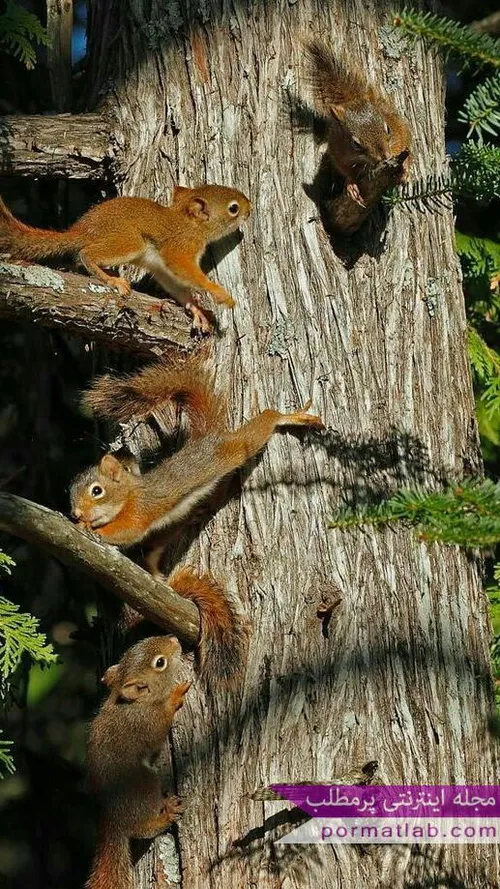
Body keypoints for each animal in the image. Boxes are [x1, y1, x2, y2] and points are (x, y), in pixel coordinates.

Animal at [0, 186, 250, 332]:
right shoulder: (179, 249)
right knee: (86, 254)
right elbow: (187, 272)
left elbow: (176, 286)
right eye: (233, 208)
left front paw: (196, 309)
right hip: (130, 240)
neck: (191, 224)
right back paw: (111, 279)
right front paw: (218, 293)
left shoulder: (162, 268)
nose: (250, 209)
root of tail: (83, 230)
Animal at [302, 39, 412, 206]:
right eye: (355, 144)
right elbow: (347, 171)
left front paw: (404, 168)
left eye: (388, 129)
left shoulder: (399, 132)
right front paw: (351, 184)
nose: (385, 157)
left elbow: (403, 148)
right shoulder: (339, 153)